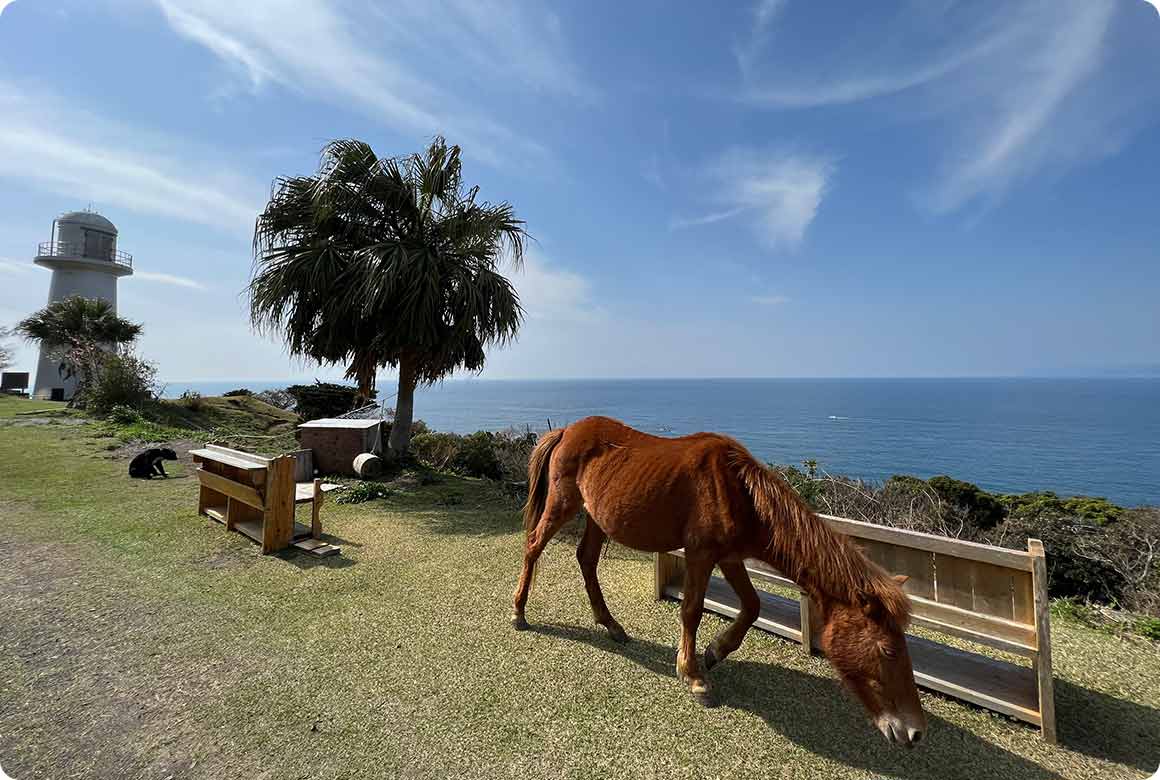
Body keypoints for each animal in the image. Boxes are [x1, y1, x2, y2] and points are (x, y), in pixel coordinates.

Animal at [512, 417, 928, 747]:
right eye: (888, 650)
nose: (915, 732)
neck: (738, 490)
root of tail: (568, 430)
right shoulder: (701, 555)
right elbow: (692, 610)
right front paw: (693, 674)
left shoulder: (729, 558)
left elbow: (752, 606)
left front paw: (715, 652)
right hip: (563, 504)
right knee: (533, 547)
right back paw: (519, 612)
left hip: (597, 516)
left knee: (587, 560)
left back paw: (611, 624)